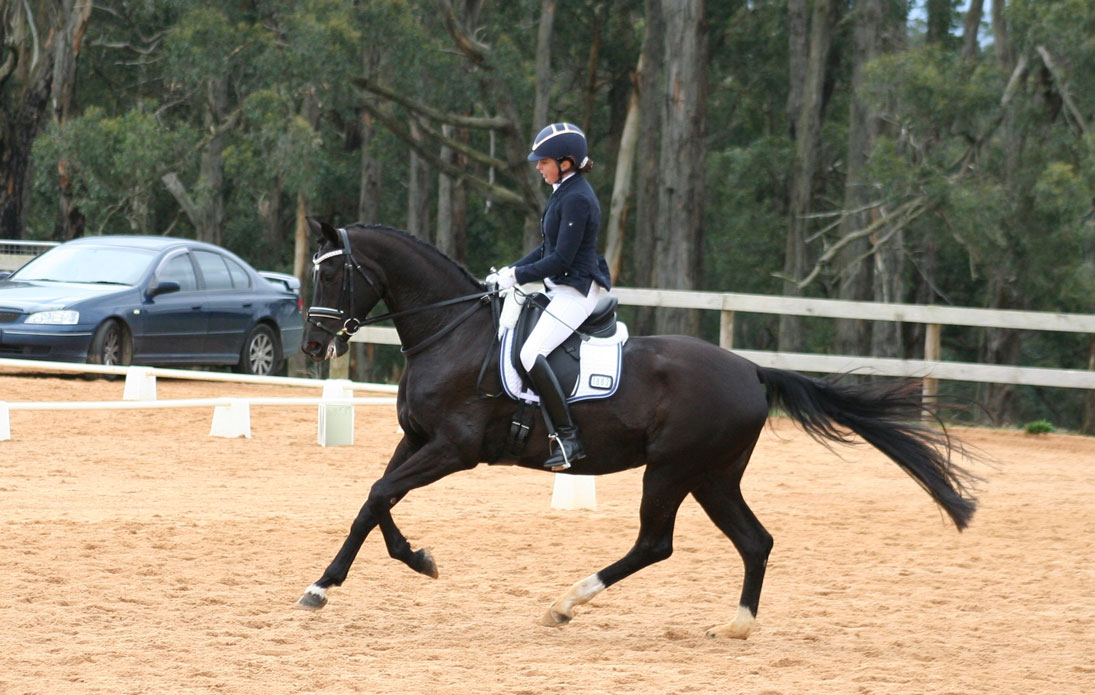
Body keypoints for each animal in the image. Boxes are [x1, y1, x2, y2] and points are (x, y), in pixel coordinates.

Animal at [297, 219, 979, 639]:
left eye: (332, 274)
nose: (310, 347)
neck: (451, 332)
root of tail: (751, 370)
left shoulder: (452, 449)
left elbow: (380, 494)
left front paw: (326, 586)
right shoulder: (416, 441)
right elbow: (375, 502)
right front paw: (406, 562)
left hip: (673, 470)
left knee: (656, 543)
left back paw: (565, 603)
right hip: (713, 476)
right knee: (755, 541)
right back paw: (736, 626)